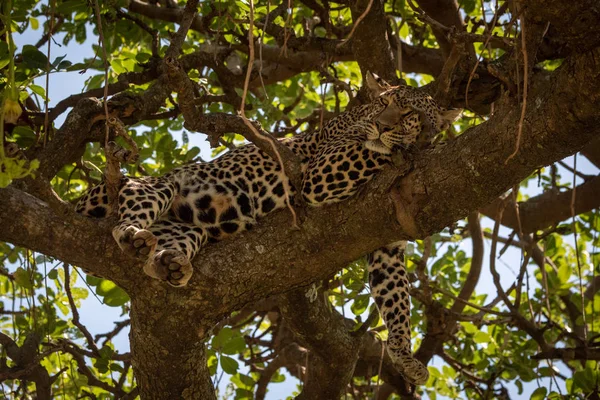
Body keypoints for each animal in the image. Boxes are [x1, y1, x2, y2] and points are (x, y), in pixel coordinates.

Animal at [75, 71, 460, 384]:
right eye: (383, 103)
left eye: (408, 114)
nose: (383, 125)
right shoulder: (322, 171)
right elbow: (373, 150)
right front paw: (419, 143)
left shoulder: (386, 237)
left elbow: (396, 297)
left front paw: (404, 355)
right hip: (151, 185)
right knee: (133, 198)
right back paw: (132, 236)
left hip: (185, 226)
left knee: (176, 240)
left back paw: (169, 263)